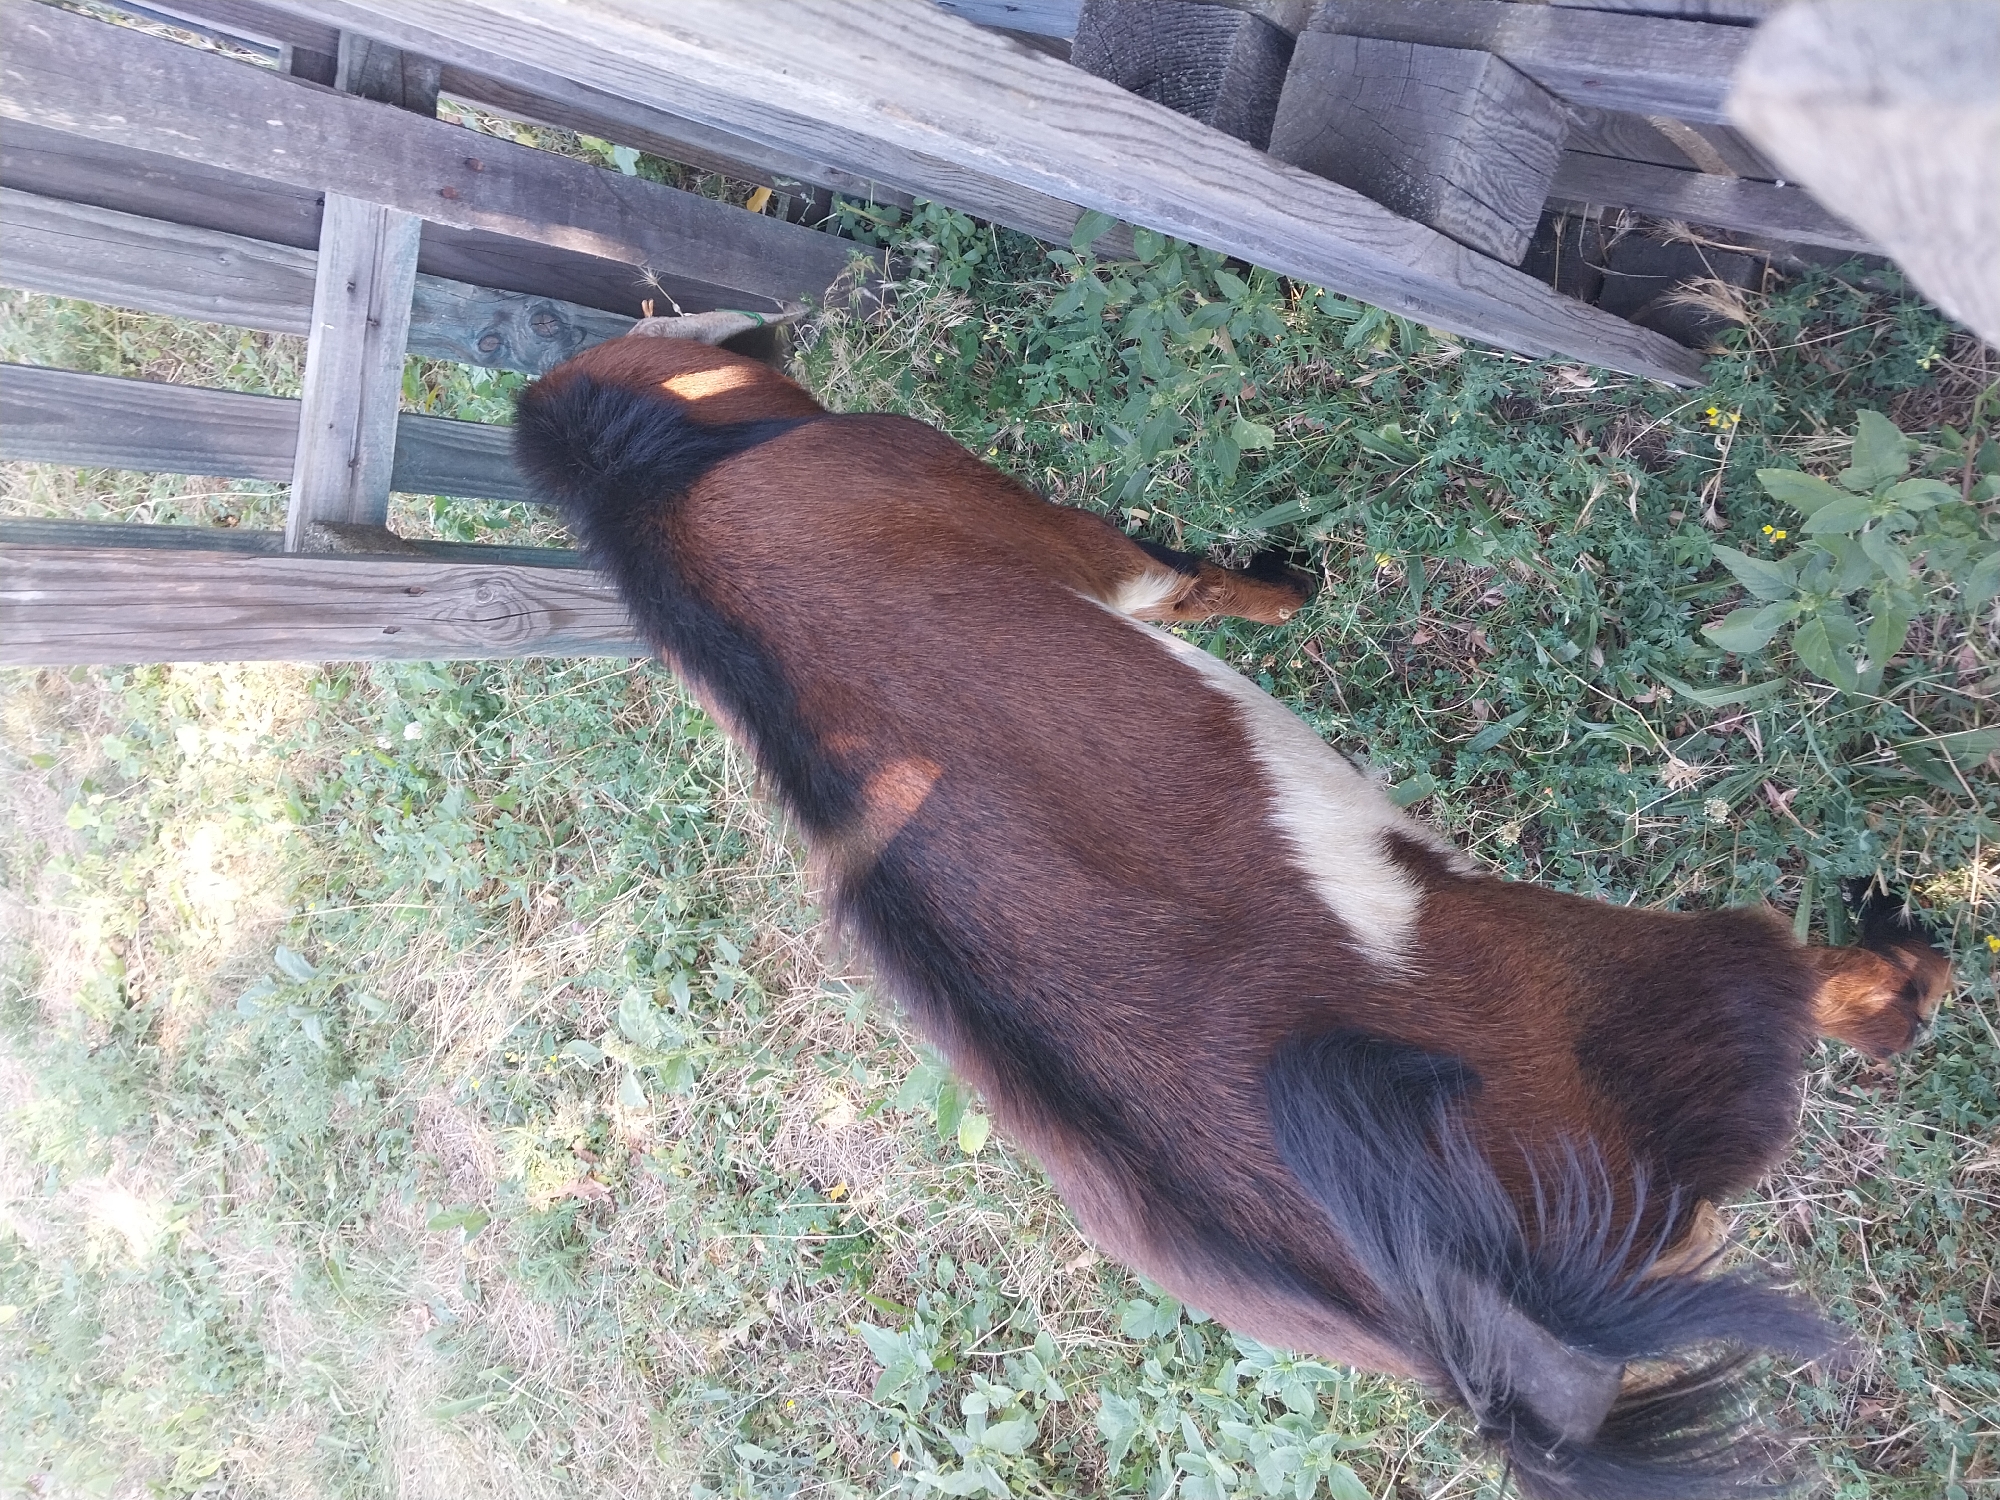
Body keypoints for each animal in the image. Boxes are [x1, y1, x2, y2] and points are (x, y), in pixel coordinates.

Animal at [514, 325, 1951, 1499]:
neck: (663, 503)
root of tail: (1458, 1325)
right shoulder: (1022, 521)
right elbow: (1181, 579)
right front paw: (1292, 580)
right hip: (1668, 989)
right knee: (1821, 998)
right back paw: (1908, 944)